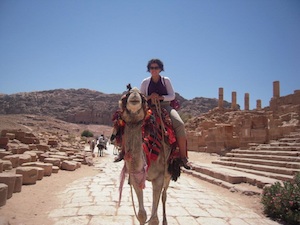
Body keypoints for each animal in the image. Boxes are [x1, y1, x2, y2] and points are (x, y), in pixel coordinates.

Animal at [117, 87, 173, 225]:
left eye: (143, 97)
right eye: (124, 97)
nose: (134, 94)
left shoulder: (158, 177)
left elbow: (154, 219)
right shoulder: (135, 177)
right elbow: (142, 214)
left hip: (168, 174)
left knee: (164, 195)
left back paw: (165, 221)